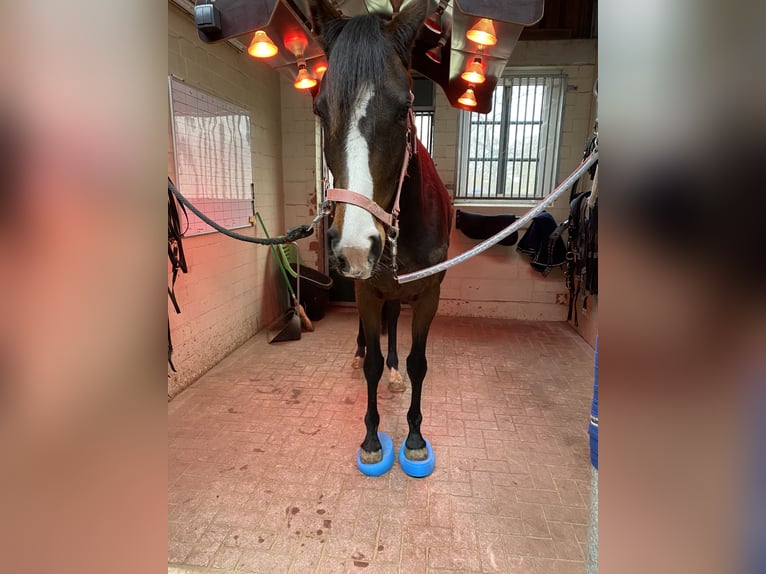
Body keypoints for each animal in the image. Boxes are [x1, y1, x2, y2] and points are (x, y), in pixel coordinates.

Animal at [309, 0, 452, 474]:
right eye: (320, 109)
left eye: (404, 104)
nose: (355, 246)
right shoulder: (367, 291)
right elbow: (371, 359)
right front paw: (372, 440)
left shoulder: (427, 295)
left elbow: (418, 363)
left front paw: (414, 437)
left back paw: (393, 374)